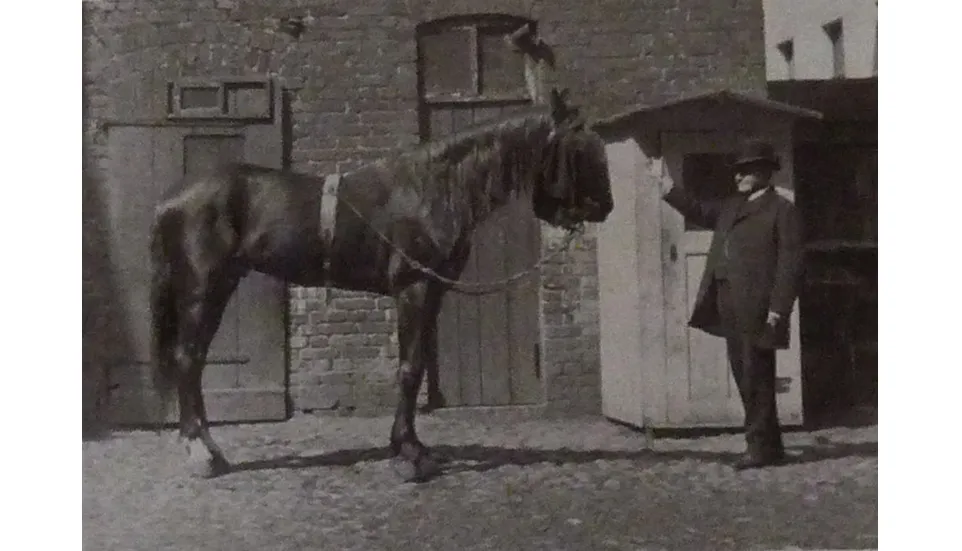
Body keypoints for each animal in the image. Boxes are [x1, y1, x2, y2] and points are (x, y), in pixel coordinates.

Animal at [148, 88, 613, 482]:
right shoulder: (413, 290)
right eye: (579, 148)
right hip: (202, 290)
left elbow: (418, 365)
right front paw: (408, 455)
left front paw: (416, 447)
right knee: (188, 359)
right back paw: (202, 453)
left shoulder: (433, 293)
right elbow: (409, 369)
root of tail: (171, 198)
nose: (606, 207)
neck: (431, 190)